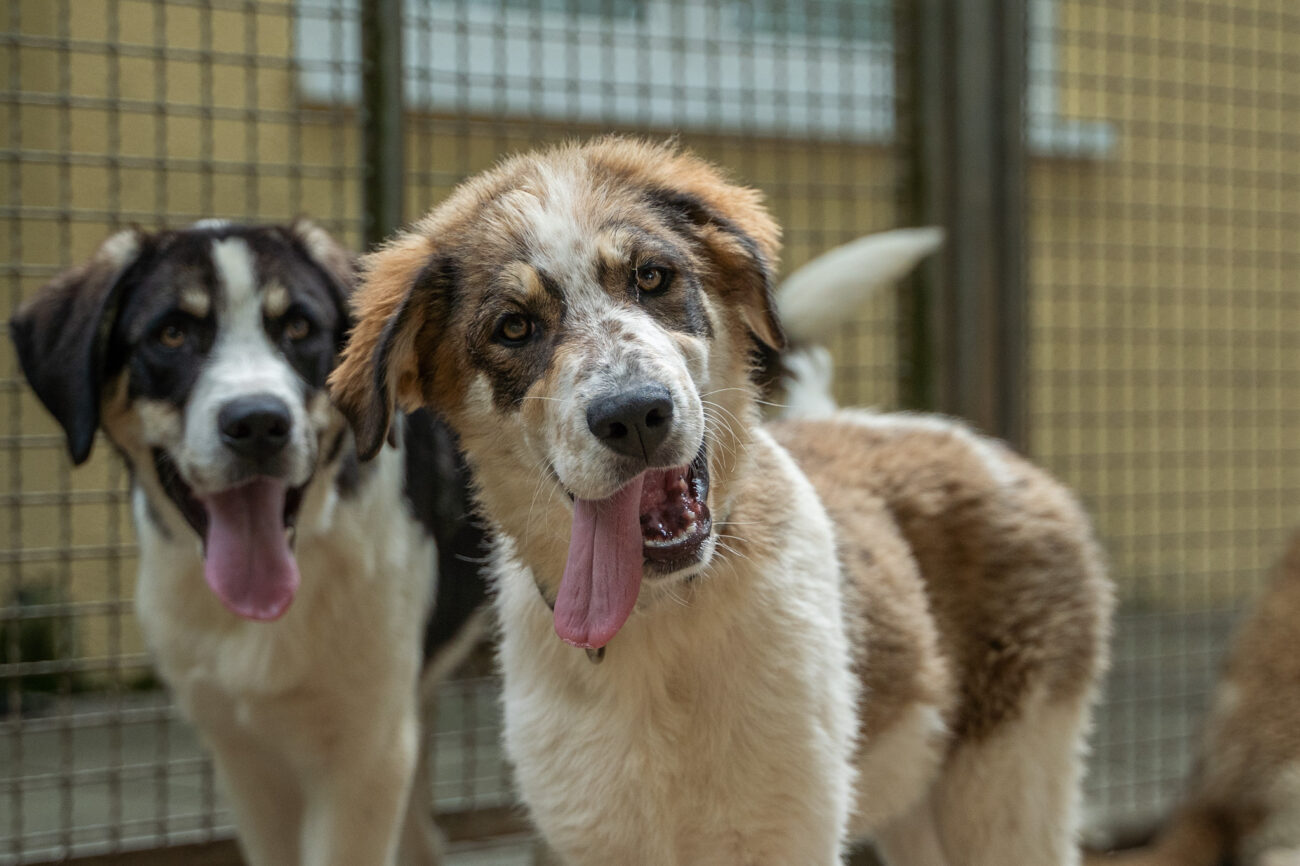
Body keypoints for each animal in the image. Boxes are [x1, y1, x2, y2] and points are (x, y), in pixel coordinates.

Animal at [330, 138, 1112, 858]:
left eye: (652, 277)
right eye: (514, 327)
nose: (634, 414)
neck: (660, 617)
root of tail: (984, 448)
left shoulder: (789, 836)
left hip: (1004, 793)